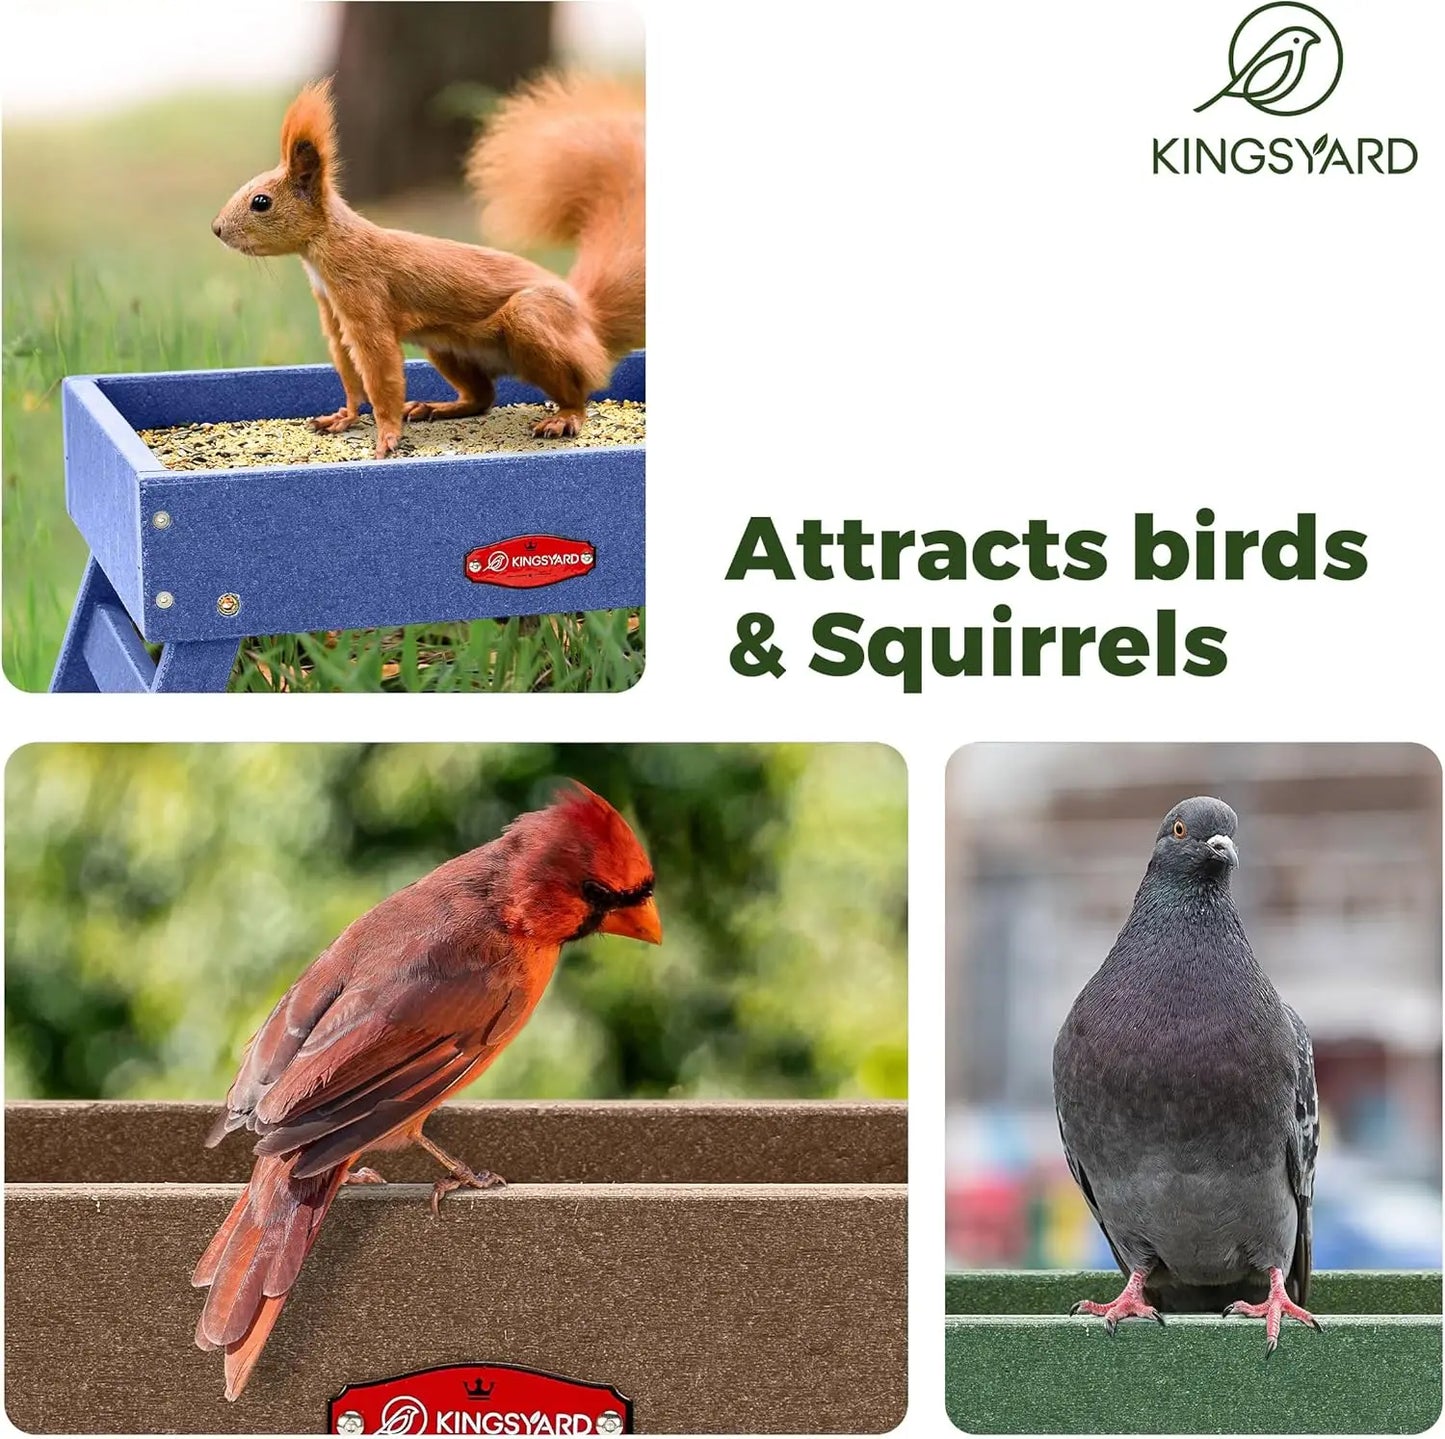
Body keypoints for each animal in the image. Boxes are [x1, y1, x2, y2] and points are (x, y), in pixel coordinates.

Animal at [212, 74, 644, 459]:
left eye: (261, 202)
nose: (216, 229)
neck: (327, 248)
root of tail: (590, 323)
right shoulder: (330, 307)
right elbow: (347, 367)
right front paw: (345, 417)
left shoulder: (363, 295)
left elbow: (378, 369)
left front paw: (386, 435)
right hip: (446, 346)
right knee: (483, 396)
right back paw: (440, 407)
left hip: (535, 320)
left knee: (579, 391)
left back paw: (565, 416)